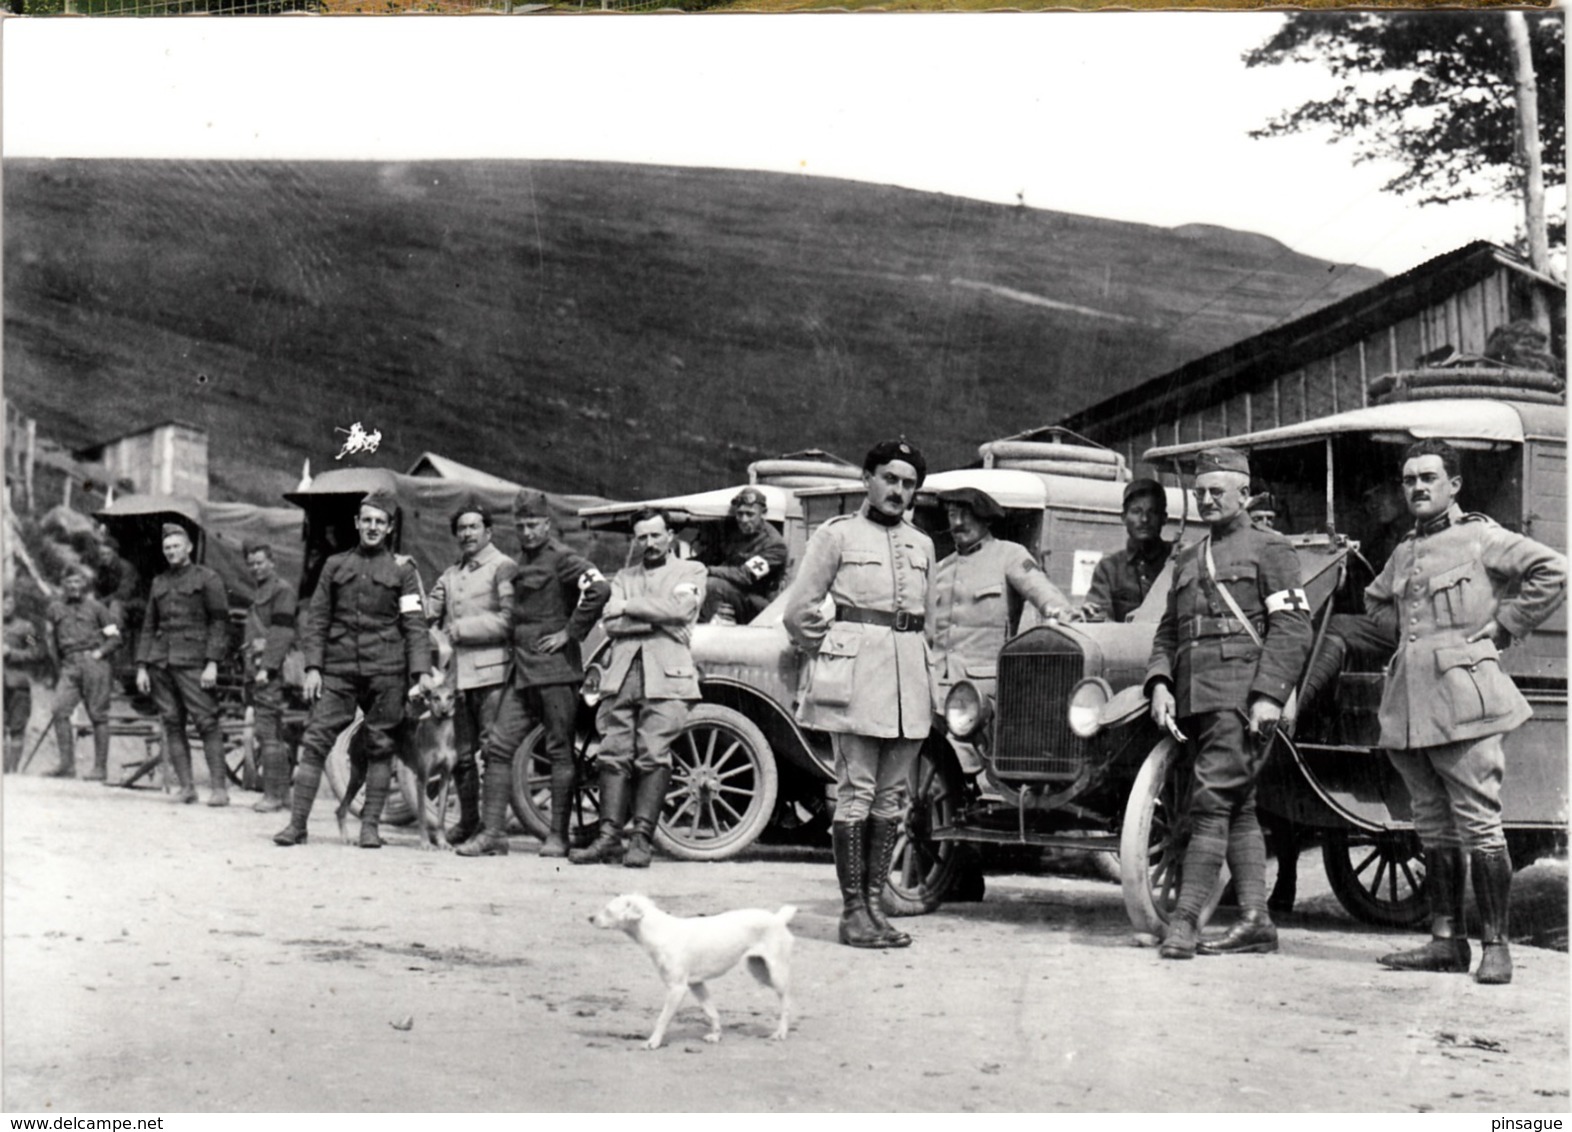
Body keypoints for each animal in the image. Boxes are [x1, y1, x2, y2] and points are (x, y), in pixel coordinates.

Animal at [594, 893, 804, 1050]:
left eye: (608, 911)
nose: (590, 918)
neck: (660, 931)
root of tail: (778, 919)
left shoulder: (677, 989)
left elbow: (662, 1019)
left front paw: (653, 1042)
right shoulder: (696, 984)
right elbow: (711, 1012)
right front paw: (716, 1036)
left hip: (776, 975)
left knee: (787, 1002)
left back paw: (781, 1033)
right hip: (759, 971)